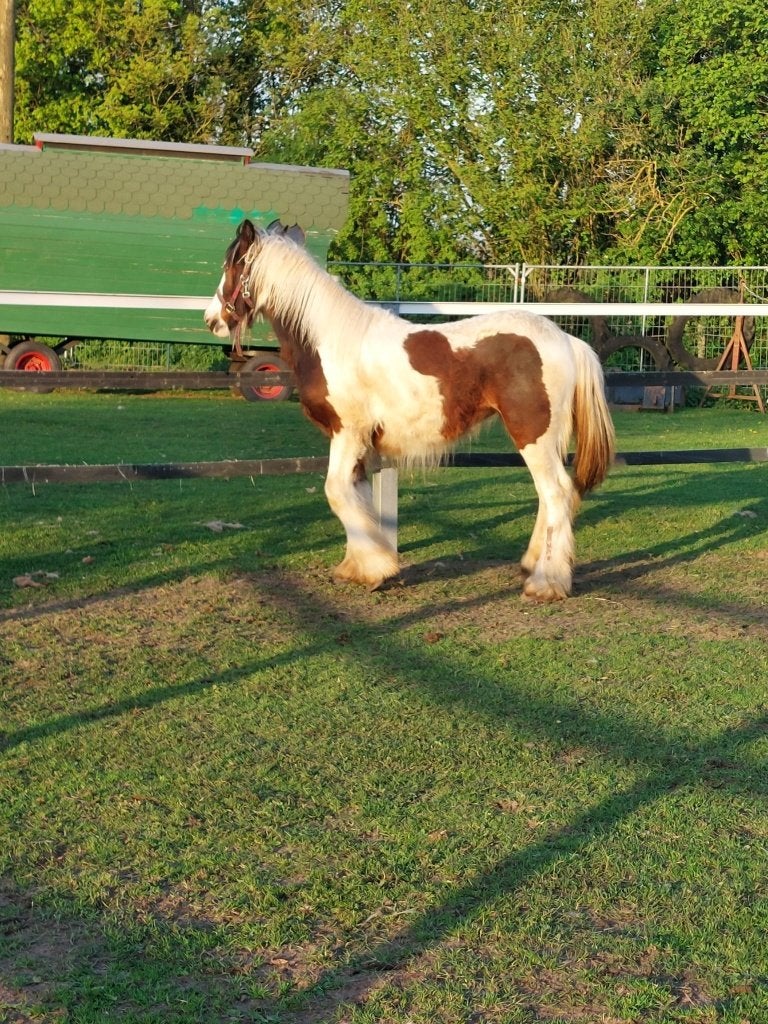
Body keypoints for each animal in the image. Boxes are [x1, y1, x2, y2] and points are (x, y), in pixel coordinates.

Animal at [204, 219, 615, 601]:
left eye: (231, 265)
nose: (212, 319)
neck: (331, 340)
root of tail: (566, 339)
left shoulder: (348, 433)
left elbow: (336, 491)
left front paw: (376, 568)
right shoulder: (361, 442)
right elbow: (357, 494)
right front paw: (361, 566)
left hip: (532, 435)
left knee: (557, 492)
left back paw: (547, 583)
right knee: (552, 496)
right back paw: (532, 565)